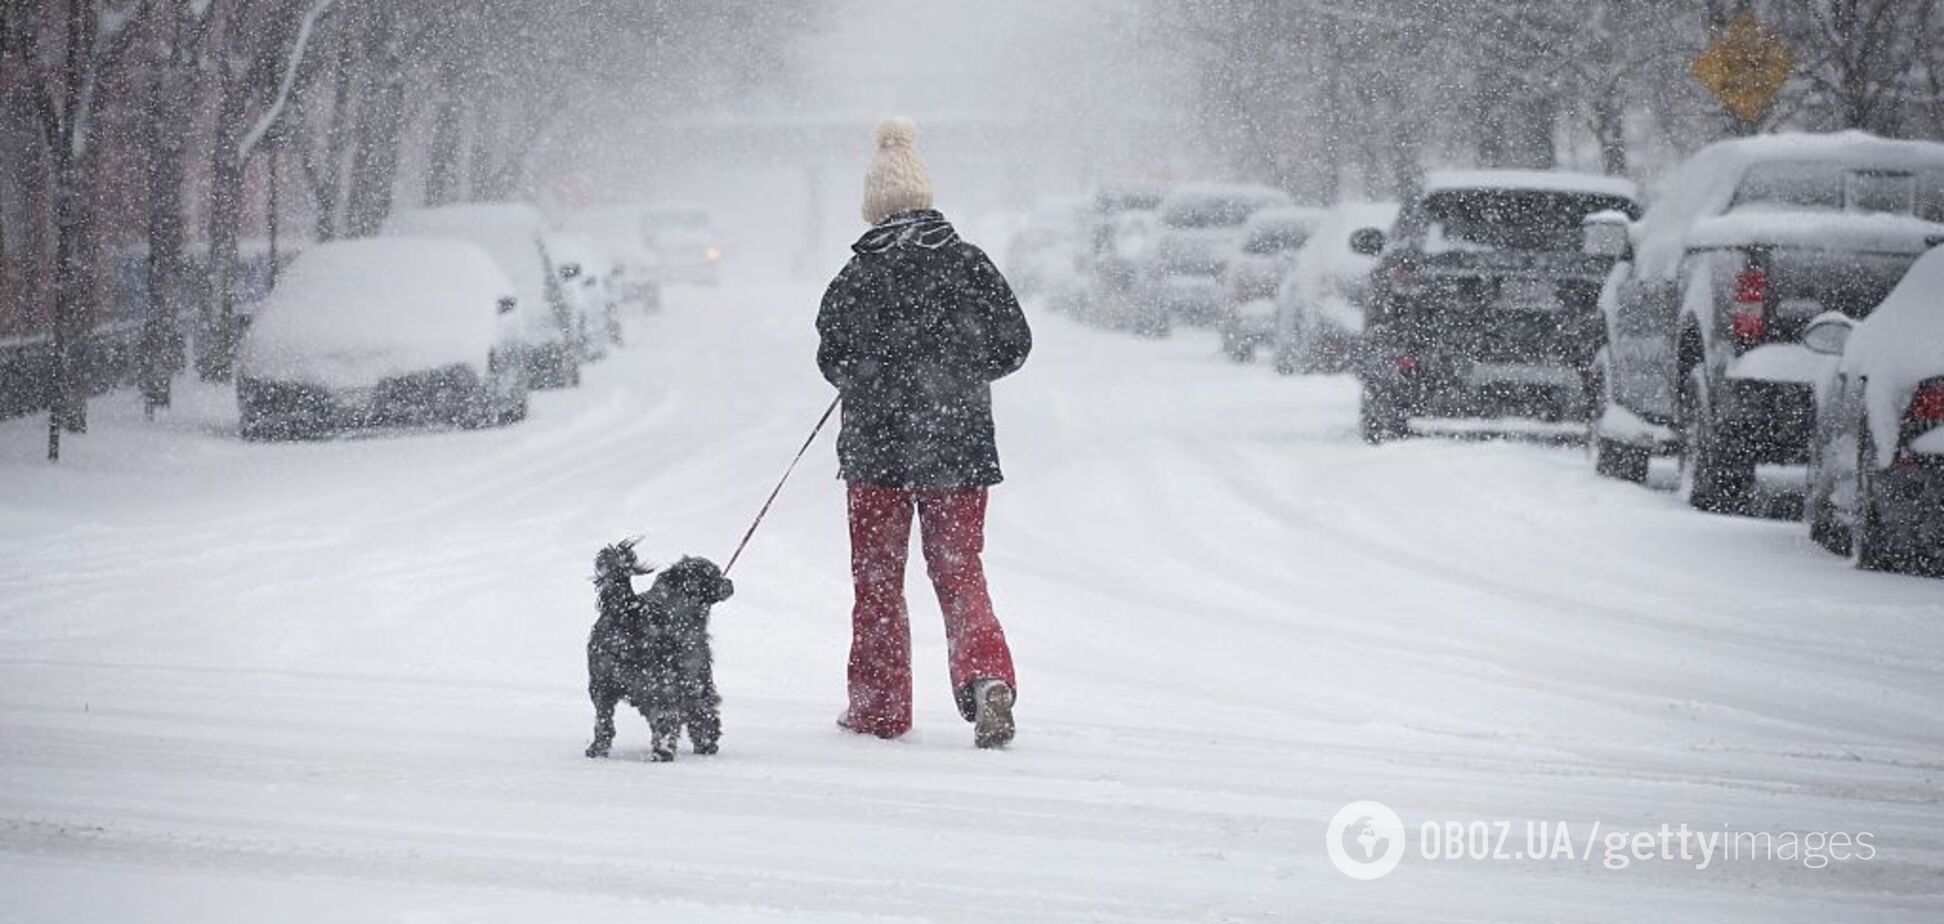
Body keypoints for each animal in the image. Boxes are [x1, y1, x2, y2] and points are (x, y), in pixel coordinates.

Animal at [579, 540, 730, 762]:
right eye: (715, 574)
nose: (729, 582)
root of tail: (628, 611)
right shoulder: (697, 677)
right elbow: (703, 711)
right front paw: (707, 743)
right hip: (662, 683)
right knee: (666, 721)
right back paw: (663, 753)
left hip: (601, 683)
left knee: (604, 721)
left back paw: (597, 750)